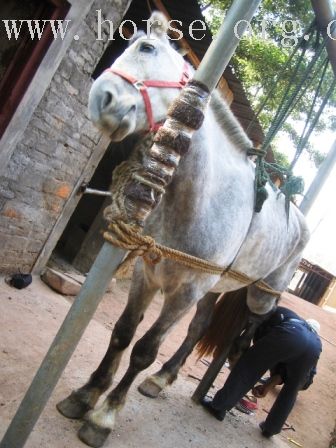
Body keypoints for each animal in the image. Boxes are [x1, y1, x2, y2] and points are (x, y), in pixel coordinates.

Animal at [55, 12, 310, 446]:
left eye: (146, 48)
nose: (100, 99)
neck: (198, 199)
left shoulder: (184, 291)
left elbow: (143, 350)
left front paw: (104, 415)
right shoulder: (147, 273)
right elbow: (123, 333)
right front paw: (86, 394)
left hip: (260, 295)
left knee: (253, 325)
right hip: (212, 288)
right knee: (201, 325)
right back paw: (163, 378)